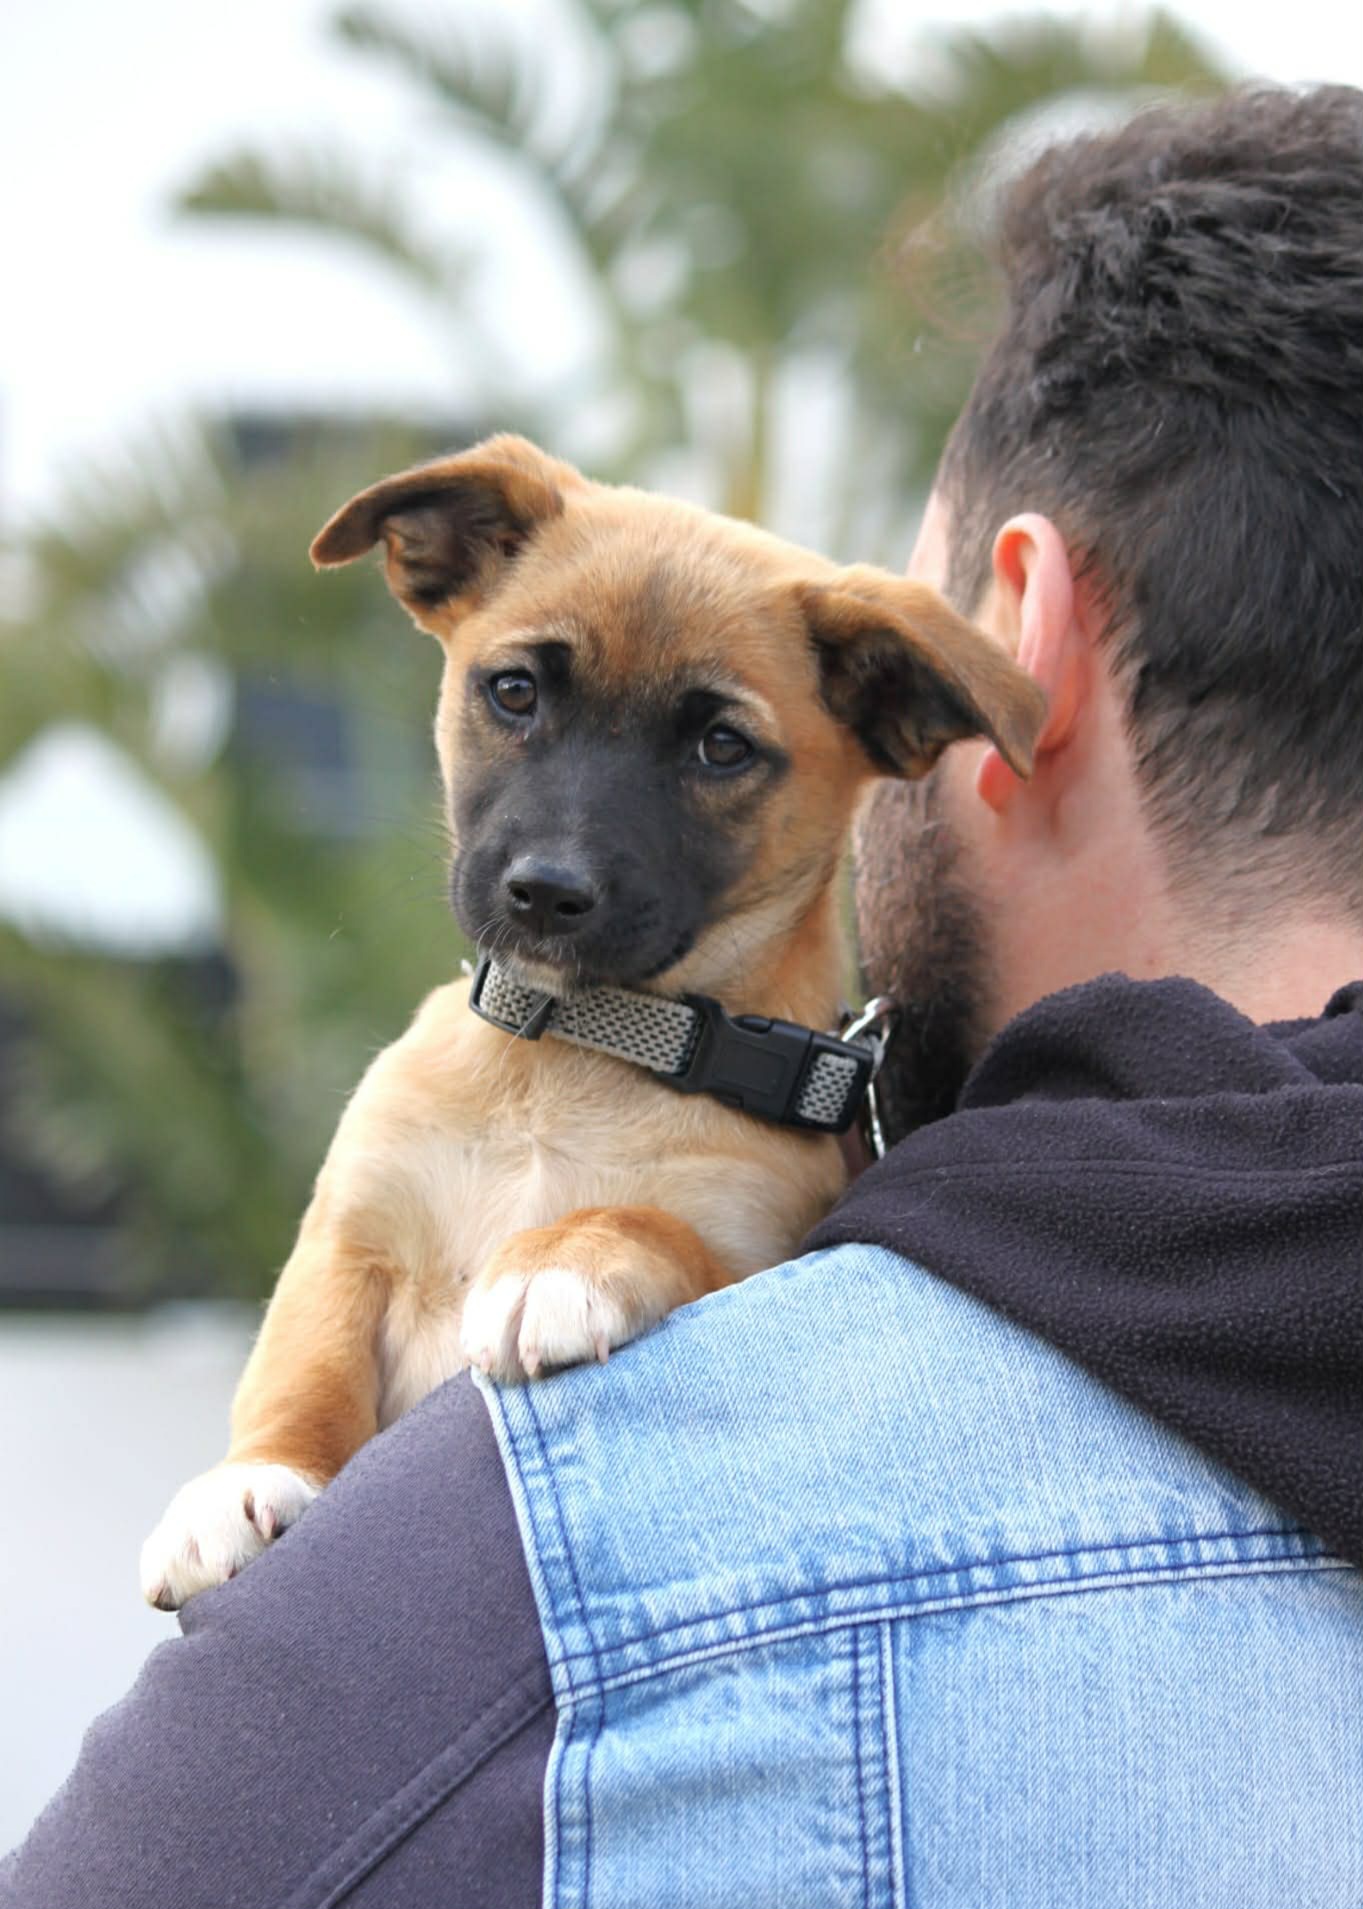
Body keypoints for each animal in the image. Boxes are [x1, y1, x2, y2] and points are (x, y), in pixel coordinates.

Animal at [139, 434, 1044, 1609]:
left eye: (720, 747)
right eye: (515, 690)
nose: (546, 892)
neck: (576, 1056)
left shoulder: (759, 1251)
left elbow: (659, 1226)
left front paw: (563, 1261)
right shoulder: (352, 1232)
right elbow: (302, 1362)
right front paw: (250, 1476)